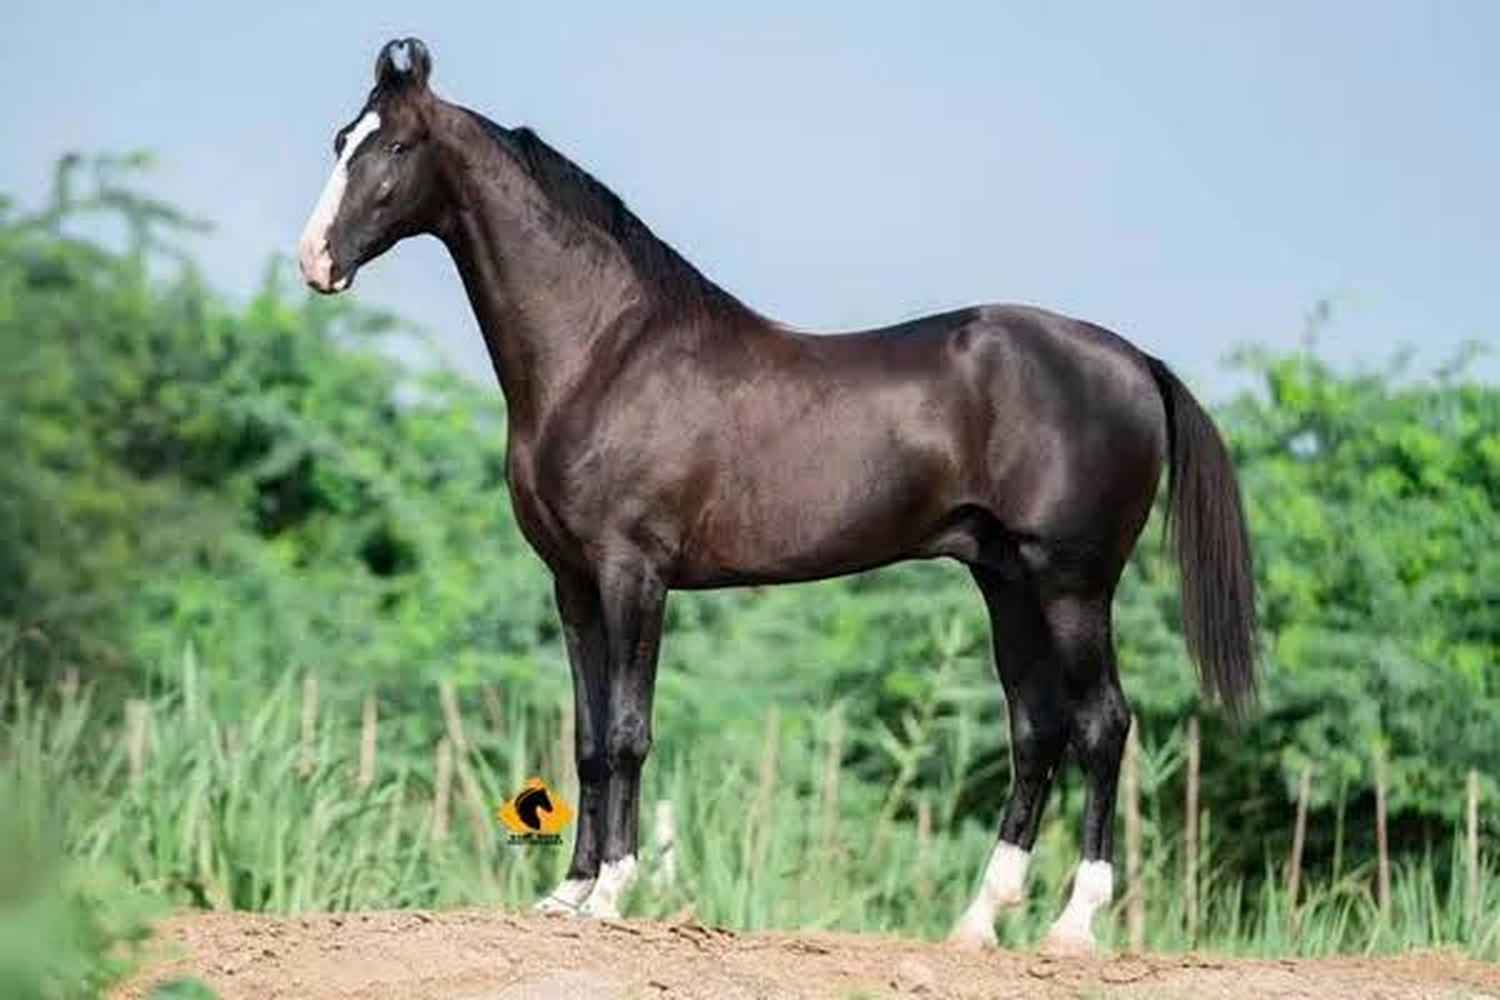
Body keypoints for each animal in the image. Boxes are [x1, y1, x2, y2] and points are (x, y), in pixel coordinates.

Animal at [298, 38, 1256, 953]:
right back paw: (979, 921)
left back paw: (1072, 926)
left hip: (1072, 584)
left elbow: (628, 731)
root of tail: (1133, 361)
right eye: (340, 139)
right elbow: (587, 737)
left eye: (395, 146)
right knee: (1038, 730)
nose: (315, 261)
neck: (606, 353)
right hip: (1005, 581)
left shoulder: (633, 574)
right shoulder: (571, 582)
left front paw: (611, 895)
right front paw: (565, 894)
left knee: (1103, 725)